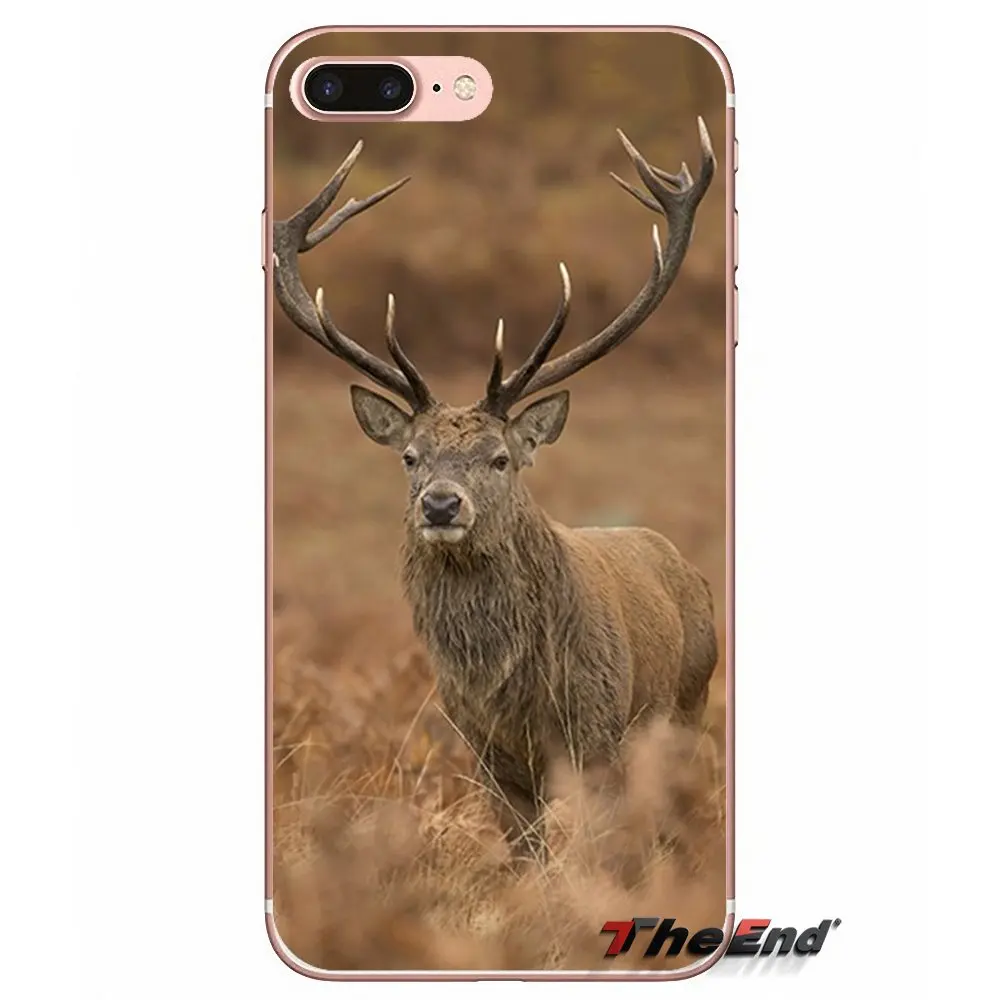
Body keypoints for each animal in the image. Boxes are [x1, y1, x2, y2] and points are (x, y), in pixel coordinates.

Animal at [273, 121, 718, 859]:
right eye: (411, 457)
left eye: (501, 457)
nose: (441, 503)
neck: (512, 694)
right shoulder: (483, 753)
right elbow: (525, 858)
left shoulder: (598, 734)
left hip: (686, 707)